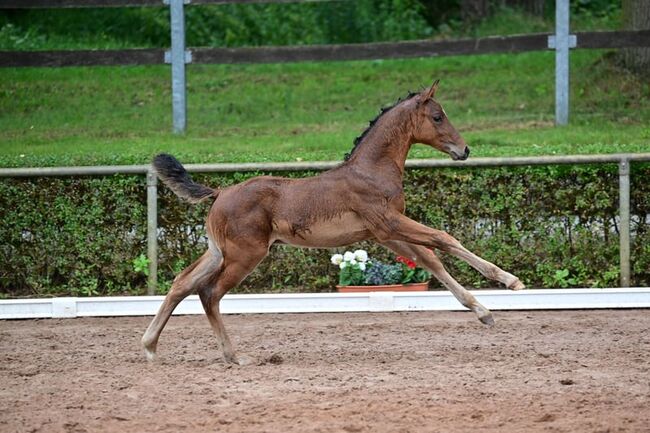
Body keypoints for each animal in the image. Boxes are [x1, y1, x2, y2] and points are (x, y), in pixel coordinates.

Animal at [140, 81, 520, 364]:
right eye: (438, 117)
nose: (464, 150)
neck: (370, 170)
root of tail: (219, 193)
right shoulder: (389, 222)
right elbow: (444, 238)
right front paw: (509, 280)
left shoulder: (383, 233)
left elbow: (431, 260)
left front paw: (483, 311)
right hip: (245, 255)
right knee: (209, 292)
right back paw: (233, 356)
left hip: (218, 252)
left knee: (182, 283)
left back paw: (150, 346)